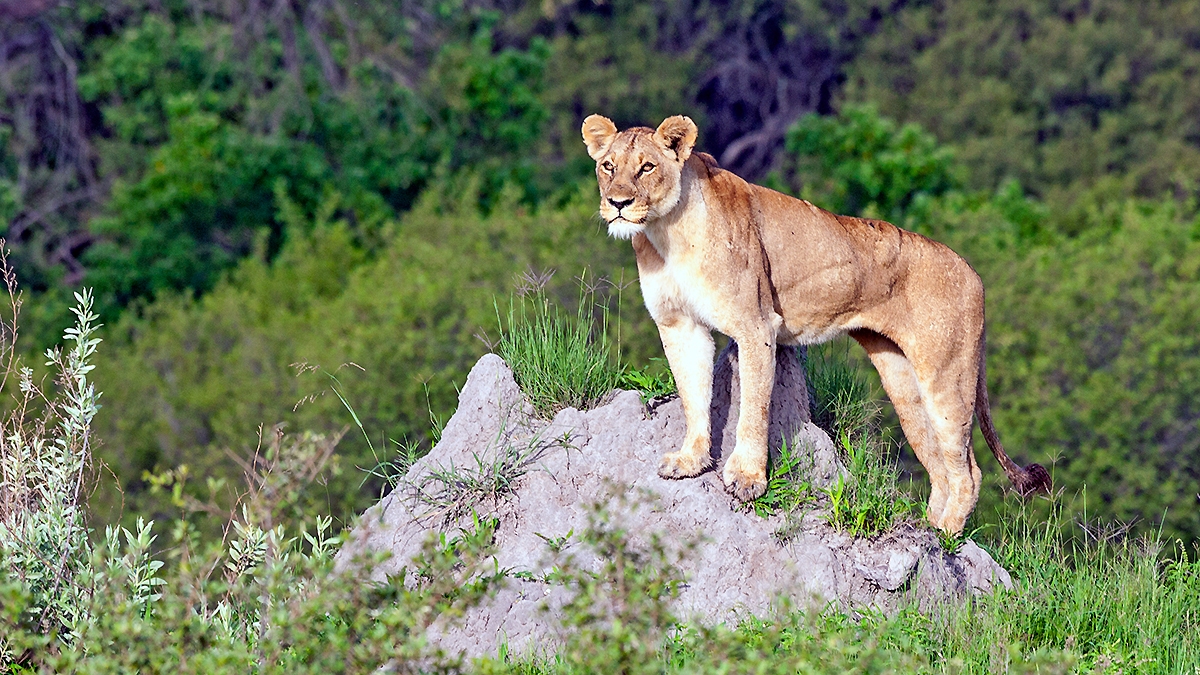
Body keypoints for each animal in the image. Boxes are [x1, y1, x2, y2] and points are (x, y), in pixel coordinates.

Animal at [581, 113, 1050, 535]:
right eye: (608, 166)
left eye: (646, 167)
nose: (618, 203)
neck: (665, 232)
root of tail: (974, 274)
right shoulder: (680, 325)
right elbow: (693, 396)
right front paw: (690, 462)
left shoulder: (756, 325)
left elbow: (754, 407)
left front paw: (747, 479)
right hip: (902, 381)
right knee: (939, 465)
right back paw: (930, 530)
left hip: (947, 375)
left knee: (968, 472)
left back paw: (947, 540)